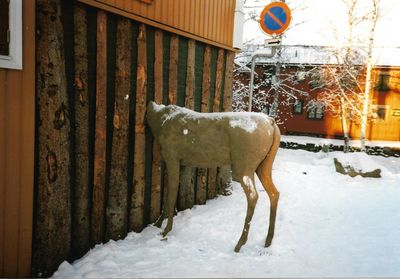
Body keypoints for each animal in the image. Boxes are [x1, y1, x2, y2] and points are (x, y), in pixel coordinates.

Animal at [147, 101, 282, 253]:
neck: (158, 121)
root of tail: (272, 123)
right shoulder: (184, 163)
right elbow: (170, 192)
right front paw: (158, 223)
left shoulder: (171, 156)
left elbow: (171, 194)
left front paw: (166, 230)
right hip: (264, 165)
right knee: (274, 193)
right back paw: (268, 240)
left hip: (244, 164)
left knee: (253, 196)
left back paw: (240, 243)